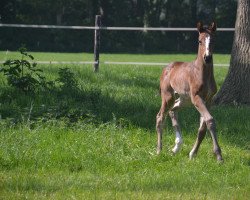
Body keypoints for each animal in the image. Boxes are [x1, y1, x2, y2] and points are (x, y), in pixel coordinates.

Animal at [156, 21, 223, 162]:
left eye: (213, 40)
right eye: (199, 41)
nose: (207, 57)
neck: (201, 73)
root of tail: (166, 68)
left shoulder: (208, 100)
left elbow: (202, 128)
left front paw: (192, 154)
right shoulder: (197, 97)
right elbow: (210, 120)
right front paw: (219, 156)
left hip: (184, 100)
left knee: (172, 111)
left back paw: (176, 147)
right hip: (168, 96)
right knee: (160, 116)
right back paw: (159, 150)